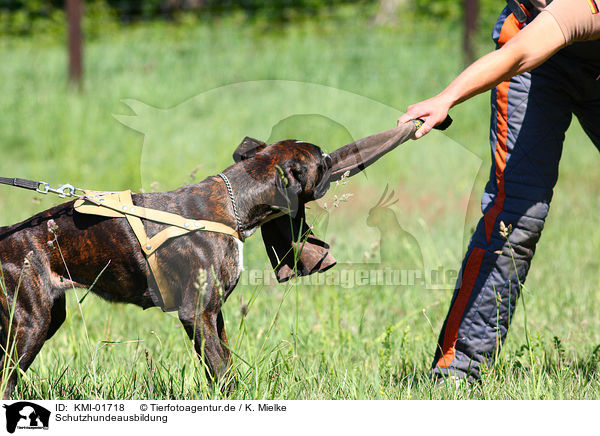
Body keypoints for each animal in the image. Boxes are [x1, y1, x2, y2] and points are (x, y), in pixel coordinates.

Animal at [0, 138, 332, 396]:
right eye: (320, 159)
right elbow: (221, 368)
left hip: (43, 319)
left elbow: (223, 363)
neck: (233, 202)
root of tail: (6, 235)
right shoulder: (196, 314)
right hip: (31, 324)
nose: (331, 158)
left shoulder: (214, 314)